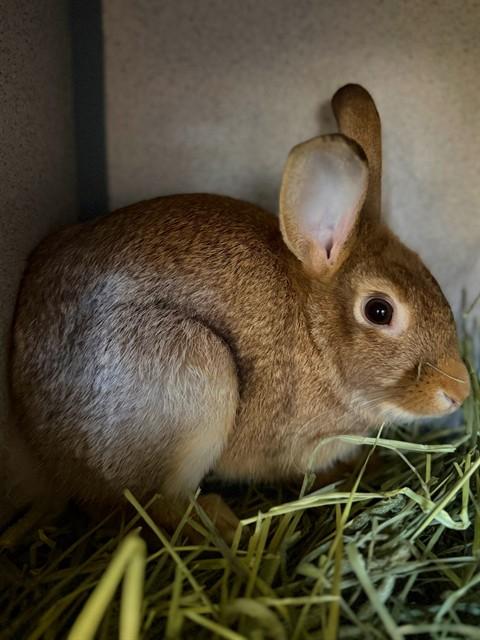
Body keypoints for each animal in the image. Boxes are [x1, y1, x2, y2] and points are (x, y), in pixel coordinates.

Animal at [10, 84, 470, 539]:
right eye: (379, 310)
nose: (459, 391)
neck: (314, 333)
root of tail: (40, 440)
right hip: (191, 374)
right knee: (156, 506)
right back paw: (231, 527)